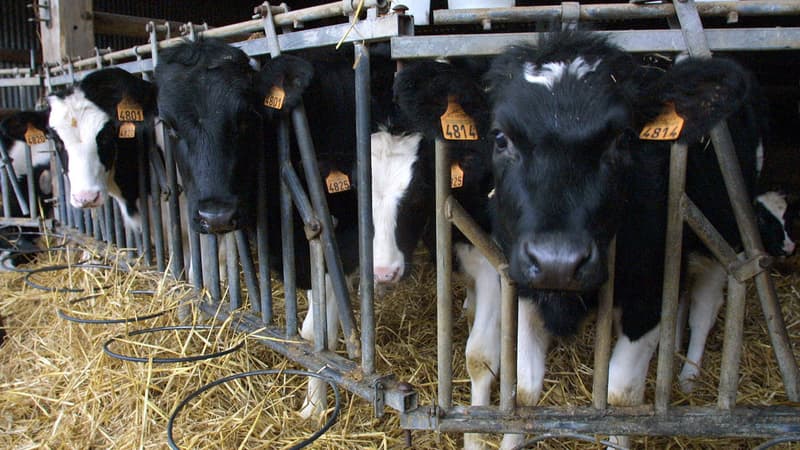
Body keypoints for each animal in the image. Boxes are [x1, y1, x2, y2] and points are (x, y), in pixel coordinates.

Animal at [394, 31, 765, 449]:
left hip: (723, 238)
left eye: (622, 139)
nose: (558, 262)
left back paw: (688, 376)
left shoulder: (649, 295)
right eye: (500, 138)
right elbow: (524, 391)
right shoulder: (523, 288)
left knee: (705, 307)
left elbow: (620, 396)